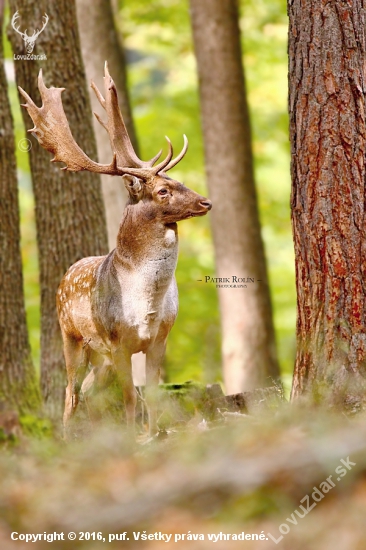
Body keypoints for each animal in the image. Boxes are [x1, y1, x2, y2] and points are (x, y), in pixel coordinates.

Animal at [19, 61, 212, 440]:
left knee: (90, 391)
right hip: (72, 335)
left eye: (179, 181)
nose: (205, 201)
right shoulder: (118, 340)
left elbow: (150, 394)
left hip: (100, 355)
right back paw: (67, 438)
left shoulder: (159, 338)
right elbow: (129, 398)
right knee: (71, 391)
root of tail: (67, 273)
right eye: (163, 190)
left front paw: (152, 433)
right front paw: (136, 437)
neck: (146, 304)